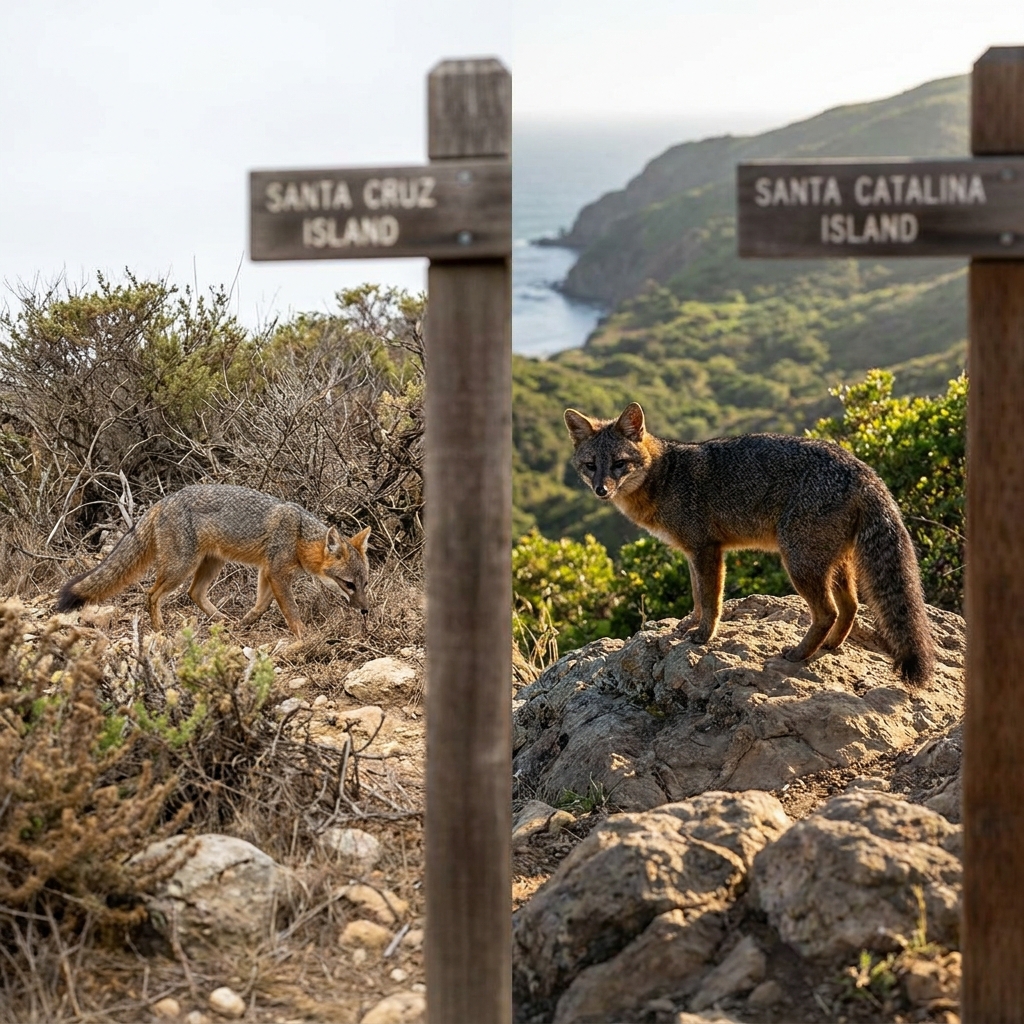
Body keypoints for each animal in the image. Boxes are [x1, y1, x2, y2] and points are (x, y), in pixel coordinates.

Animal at [56, 484, 371, 637]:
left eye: (364, 584)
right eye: (349, 584)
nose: (366, 610)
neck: (299, 535)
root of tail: (164, 500)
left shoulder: (267, 572)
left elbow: (261, 605)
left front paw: (246, 622)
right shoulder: (277, 574)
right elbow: (291, 611)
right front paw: (304, 635)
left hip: (211, 564)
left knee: (194, 593)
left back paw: (222, 620)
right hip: (180, 568)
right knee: (152, 594)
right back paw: (159, 629)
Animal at [564, 402, 935, 687]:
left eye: (619, 464)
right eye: (591, 466)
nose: (601, 490)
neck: (666, 476)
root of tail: (864, 470)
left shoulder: (707, 549)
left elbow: (711, 599)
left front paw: (704, 635)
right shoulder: (692, 552)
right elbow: (697, 595)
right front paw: (690, 623)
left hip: (798, 563)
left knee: (828, 612)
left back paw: (799, 654)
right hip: (833, 563)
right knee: (851, 607)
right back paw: (829, 647)